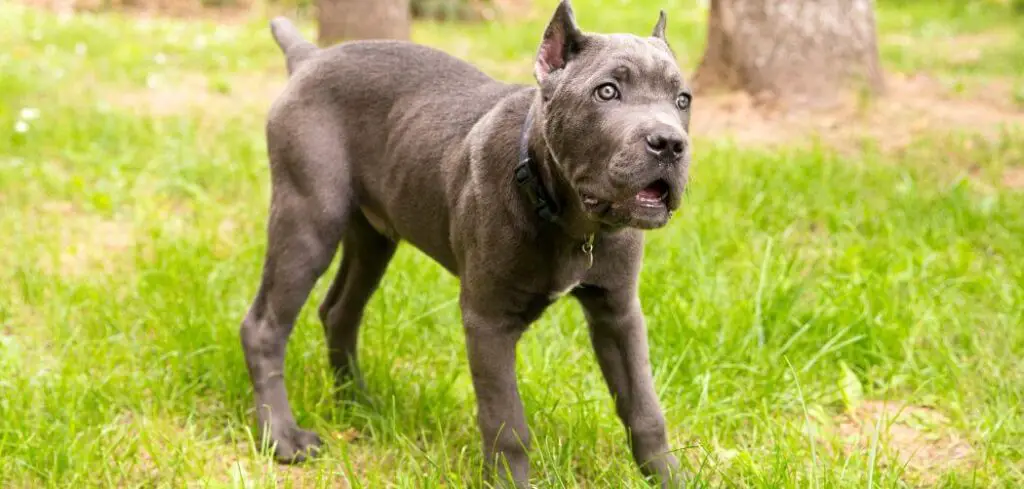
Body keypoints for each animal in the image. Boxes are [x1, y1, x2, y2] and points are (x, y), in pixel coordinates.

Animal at [237, 1, 688, 486]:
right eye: (606, 92)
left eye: (683, 100)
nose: (670, 143)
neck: (570, 219)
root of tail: (309, 58)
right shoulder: (487, 320)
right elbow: (507, 423)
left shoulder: (618, 312)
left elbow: (644, 407)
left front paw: (669, 476)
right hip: (308, 217)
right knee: (264, 327)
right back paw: (282, 437)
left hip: (373, 236)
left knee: (339, 311)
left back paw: (359, 404)